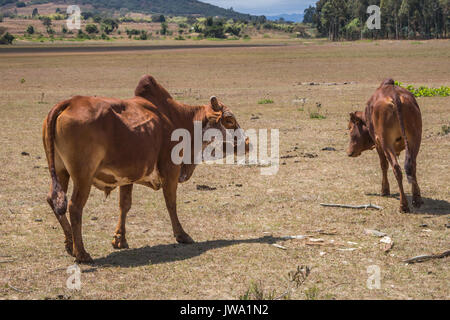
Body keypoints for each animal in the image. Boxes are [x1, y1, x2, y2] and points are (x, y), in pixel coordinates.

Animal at [346, 78, 424, 212]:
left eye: (350, 128)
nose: (349, 152)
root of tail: (395, 96)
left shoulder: (378, 144)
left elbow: (383, 165)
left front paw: (384, 190)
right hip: (415, 139)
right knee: (412, 166)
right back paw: (416, 199)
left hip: (386, 143)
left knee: (396, 168)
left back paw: (403, 205)